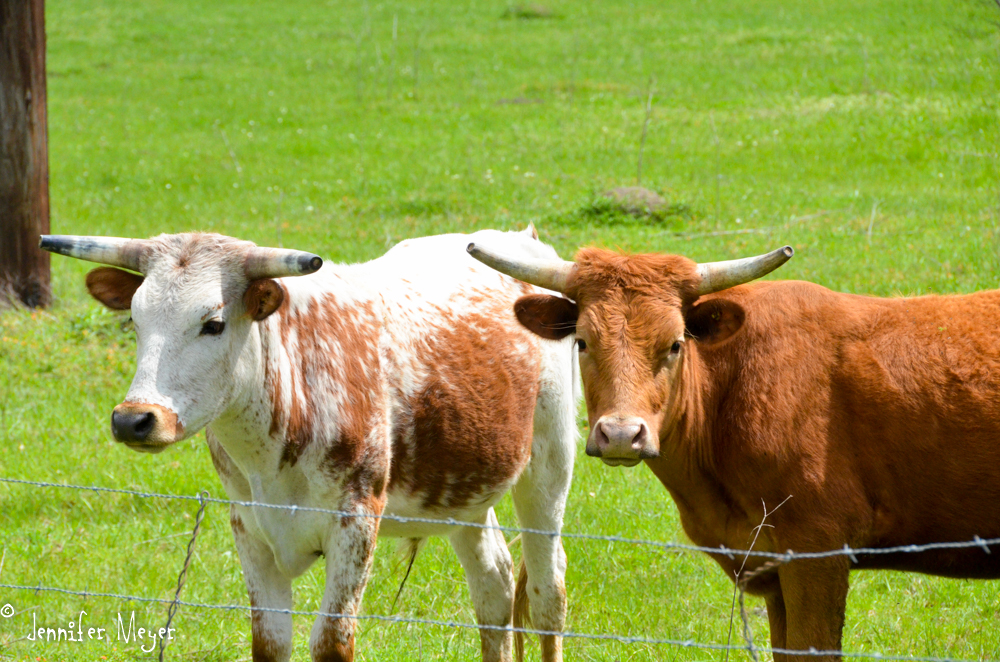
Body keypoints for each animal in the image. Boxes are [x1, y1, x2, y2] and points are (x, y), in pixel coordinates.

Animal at [43, 230, 580, 662]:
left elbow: (331, 641)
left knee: (547, 590)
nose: (134, 420)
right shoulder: (249, 526)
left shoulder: (355, 524)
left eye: (213, 323)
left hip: (549, 467)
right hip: (463, 489)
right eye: (135, 321)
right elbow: (270, 641)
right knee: (494, 583)